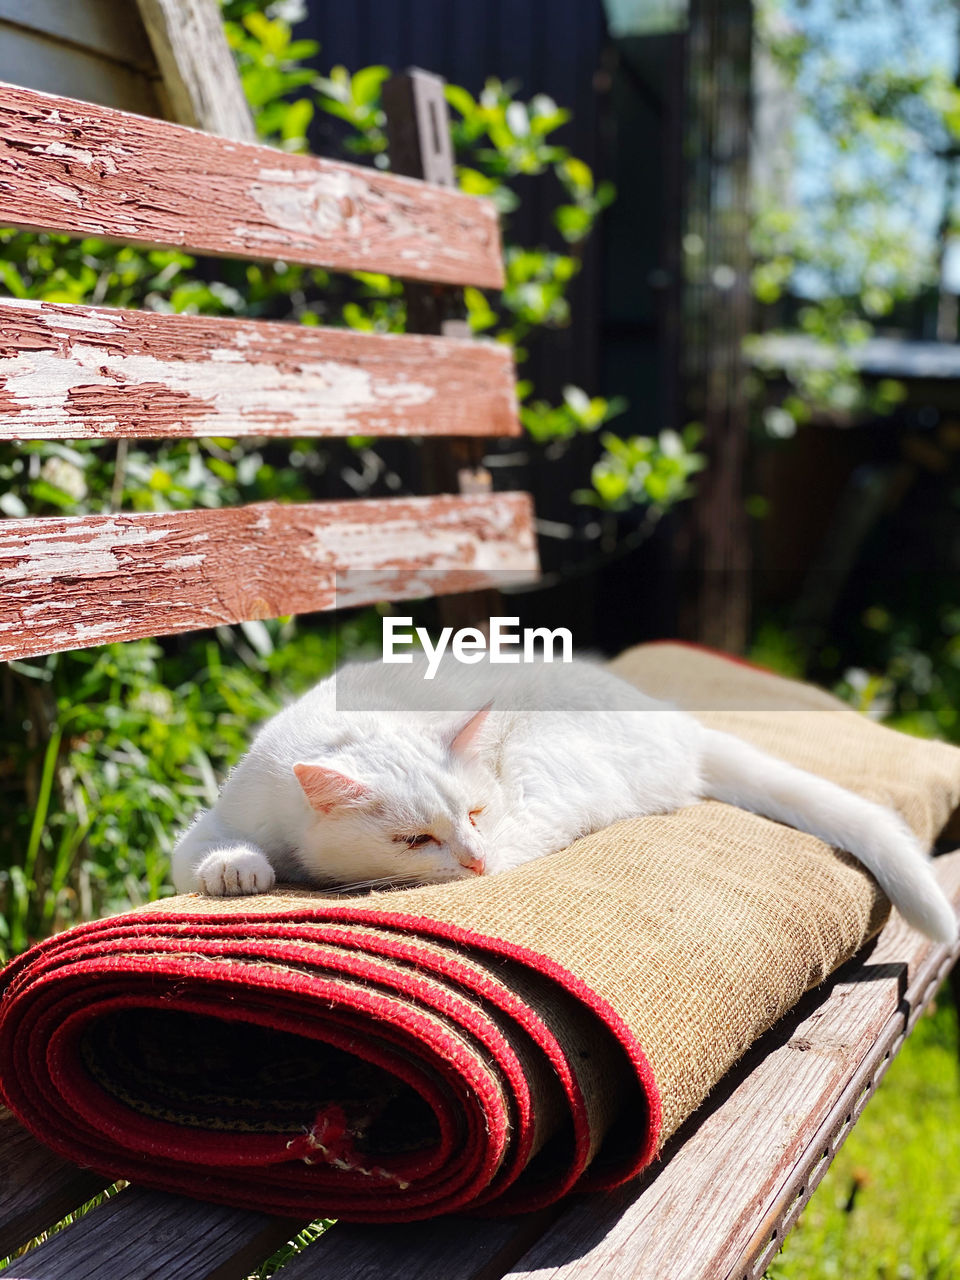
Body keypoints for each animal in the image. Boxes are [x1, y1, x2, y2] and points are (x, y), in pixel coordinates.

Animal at [168, 655, 957, 947]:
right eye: (415, 838)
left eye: (474, 814)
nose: (473, 859)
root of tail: (678, 723)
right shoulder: (223, 816)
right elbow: (205, 849)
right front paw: (237, 870)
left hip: (546, 755)